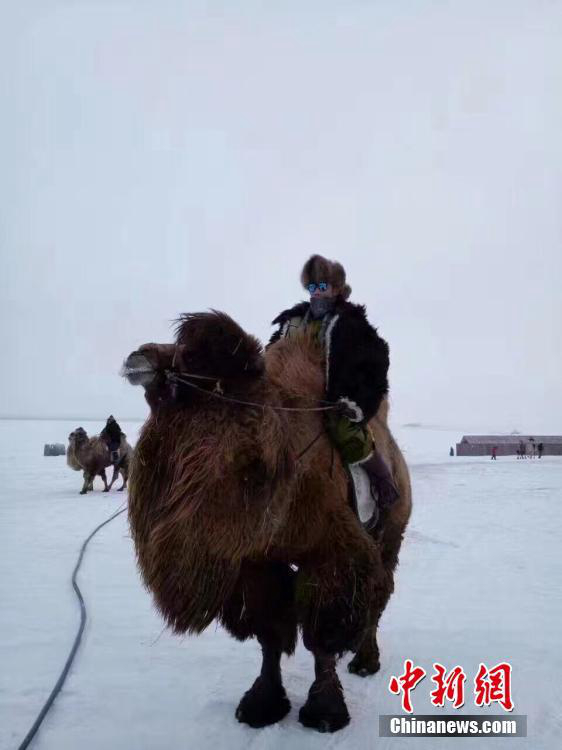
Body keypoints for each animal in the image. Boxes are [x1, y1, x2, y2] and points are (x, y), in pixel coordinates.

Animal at [124, 312, 410, 736]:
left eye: (193, 371)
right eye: (158, 396)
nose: (139, 358)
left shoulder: (330, 548)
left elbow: (322, 632)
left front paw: (325, 712)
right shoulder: (252, 559)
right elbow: (269, 630)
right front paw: (261, 705)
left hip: (390, 534)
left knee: (379, 593)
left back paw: (364, 661)